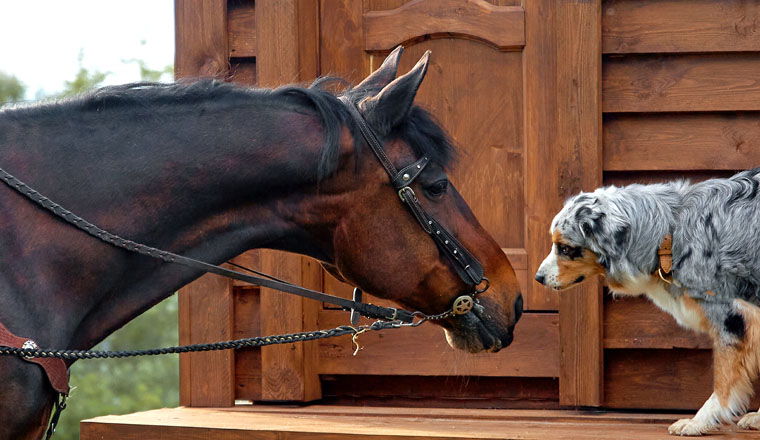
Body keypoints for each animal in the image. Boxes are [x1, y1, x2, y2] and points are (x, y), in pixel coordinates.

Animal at [536, 167, 760, 434]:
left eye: (565, 248)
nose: (538, 278)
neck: (670, 231)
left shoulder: (730, 317)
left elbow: (723, 381)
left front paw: (698, 422)